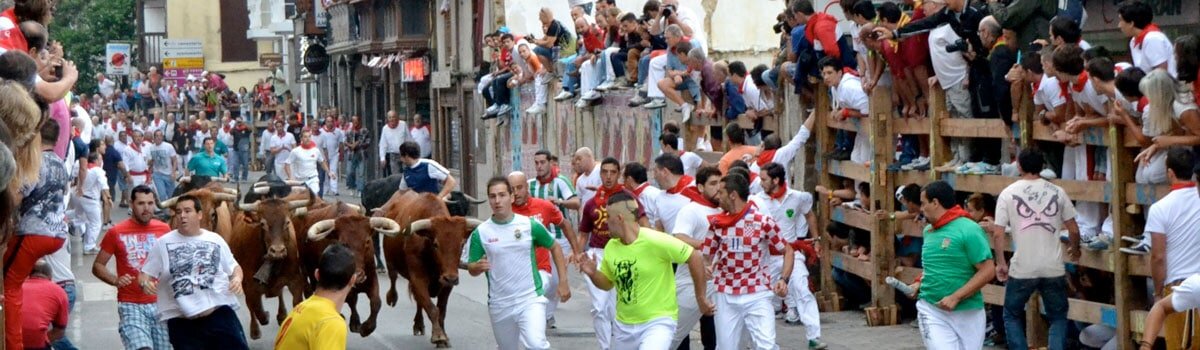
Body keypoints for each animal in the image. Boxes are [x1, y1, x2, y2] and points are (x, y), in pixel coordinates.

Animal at [226, 196, 307, 338]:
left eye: (287, 222)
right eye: (263, 223)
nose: (278, 251)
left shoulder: (296, 280)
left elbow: (297, 302)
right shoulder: (249, 285)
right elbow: (257, 309)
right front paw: (264, 317)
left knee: (279, 294)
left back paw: (281, 315)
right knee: (251, 307)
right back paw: (255, 330)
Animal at [298, 202, 398, 335]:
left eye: (367, 241)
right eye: (343, 243)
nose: (358, 275)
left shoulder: (371, 277)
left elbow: (376, 301)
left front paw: (367, 327)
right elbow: (351, 300)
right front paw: (355, 323)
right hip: (307, 271)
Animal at [379, 190, 482, 347]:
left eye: (462, 244)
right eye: (435, 244)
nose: (450, 278)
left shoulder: (447, 284)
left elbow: (441, 310)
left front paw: (444, 336)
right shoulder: (418, 279)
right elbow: (432, 308)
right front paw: (439, 336)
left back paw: (418, 325)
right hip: (390, 261)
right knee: (393, 278)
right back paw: (392, 297)